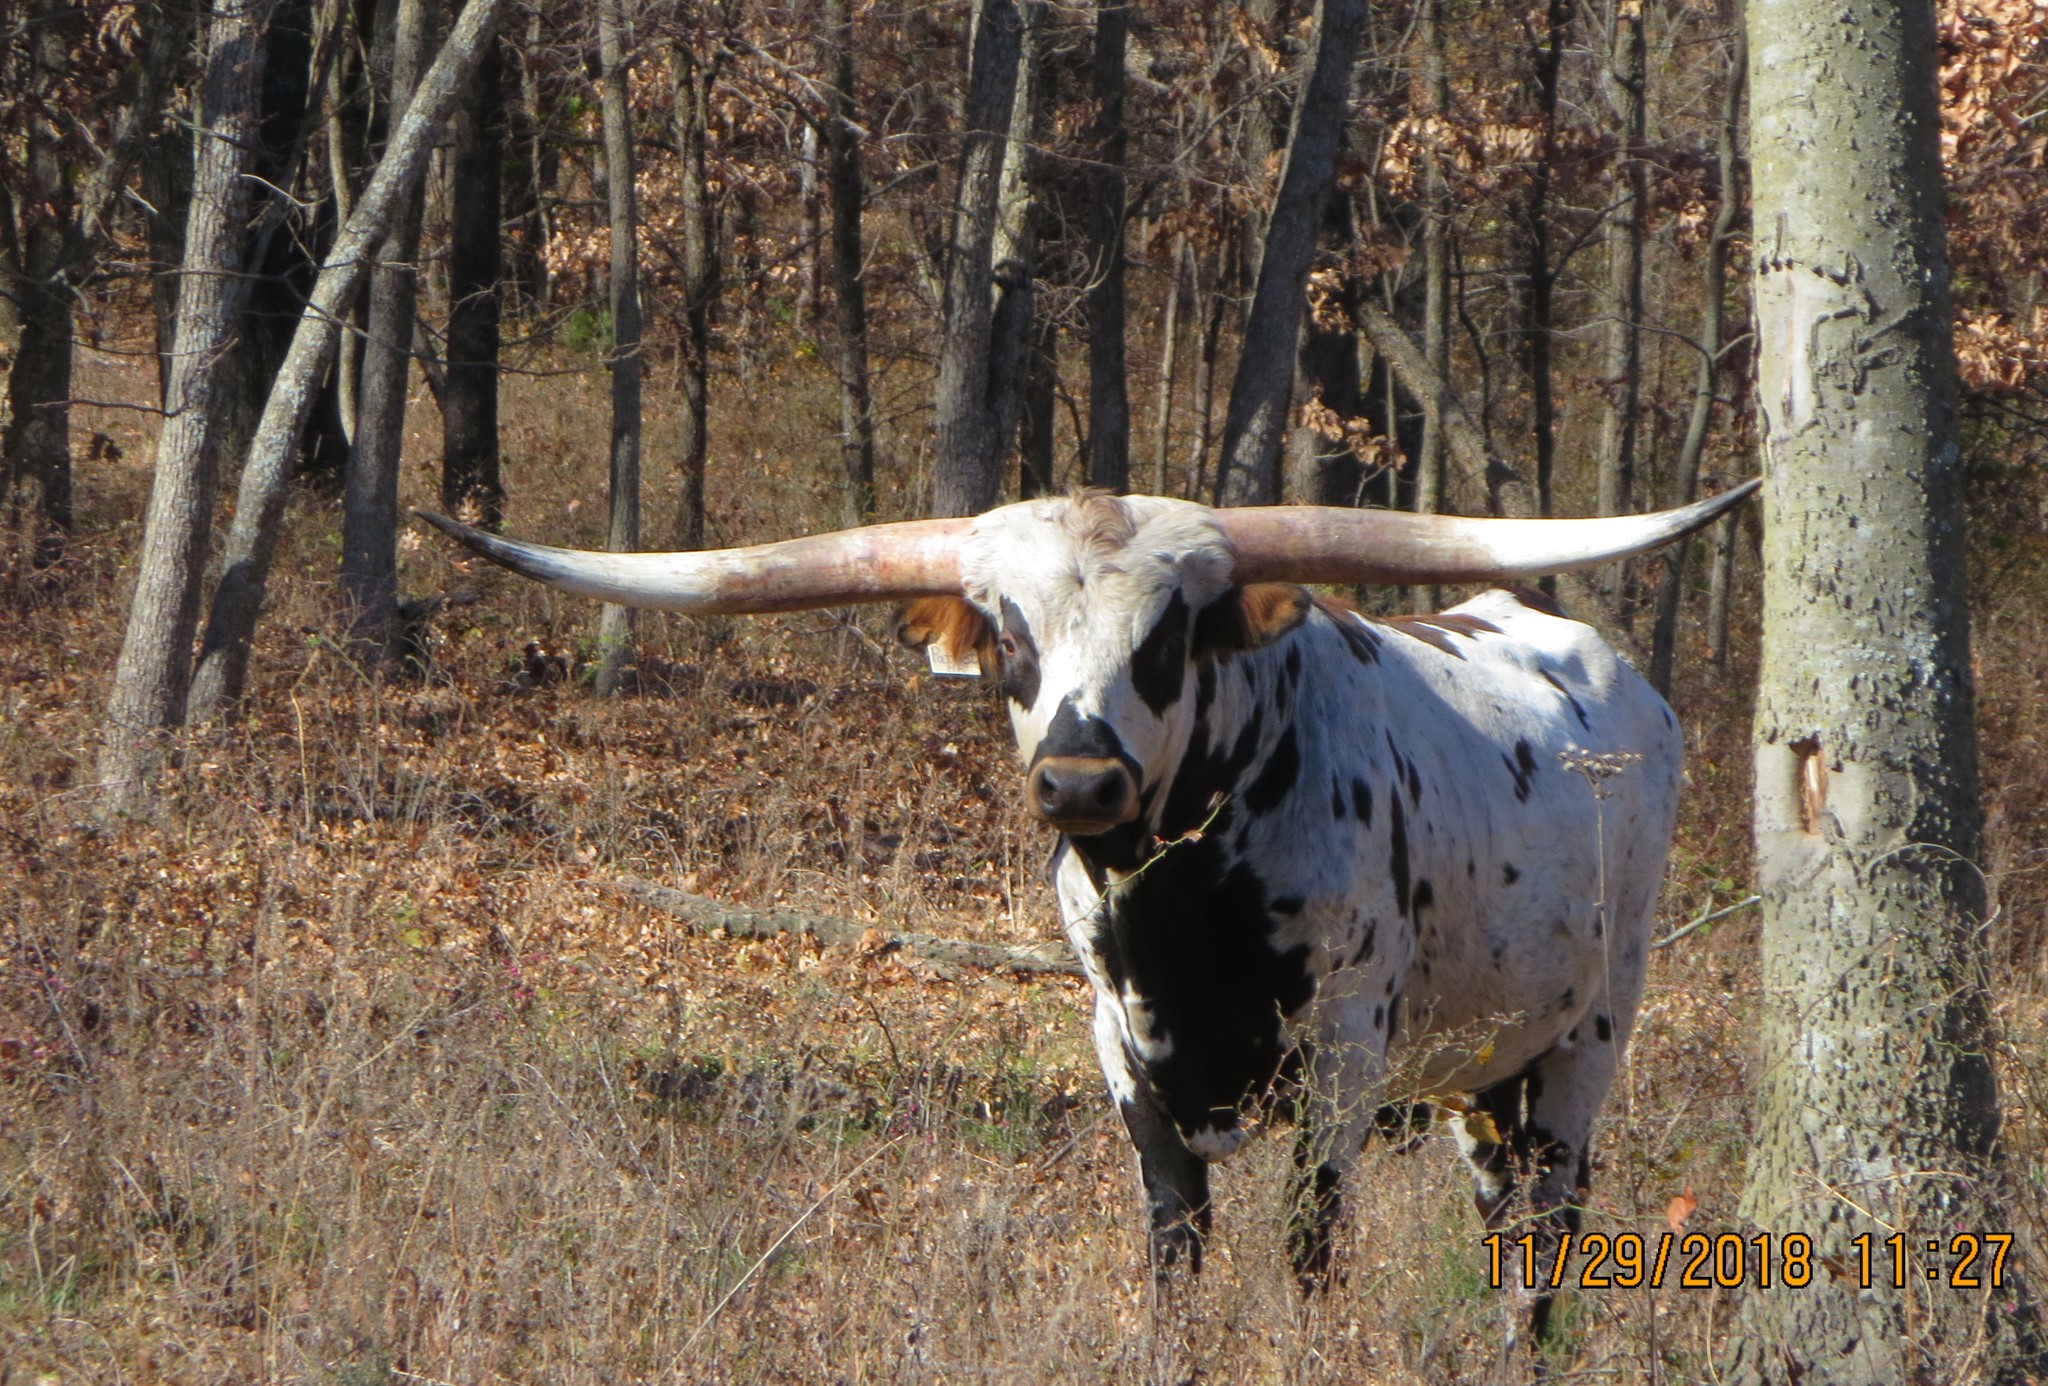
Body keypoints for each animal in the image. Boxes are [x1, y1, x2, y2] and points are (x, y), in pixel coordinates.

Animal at [421, 481, 1755, 1334]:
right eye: (1007, 635)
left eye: (1168, 634)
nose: (1076, 779)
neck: (1180, 915)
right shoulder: (1118, 1046)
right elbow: (1174, 1244)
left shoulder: (1341, 1051)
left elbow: (1310, 1249)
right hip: (1478, 1070)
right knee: (1499, 1221)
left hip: (1590, 1031)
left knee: (1552, 1225)